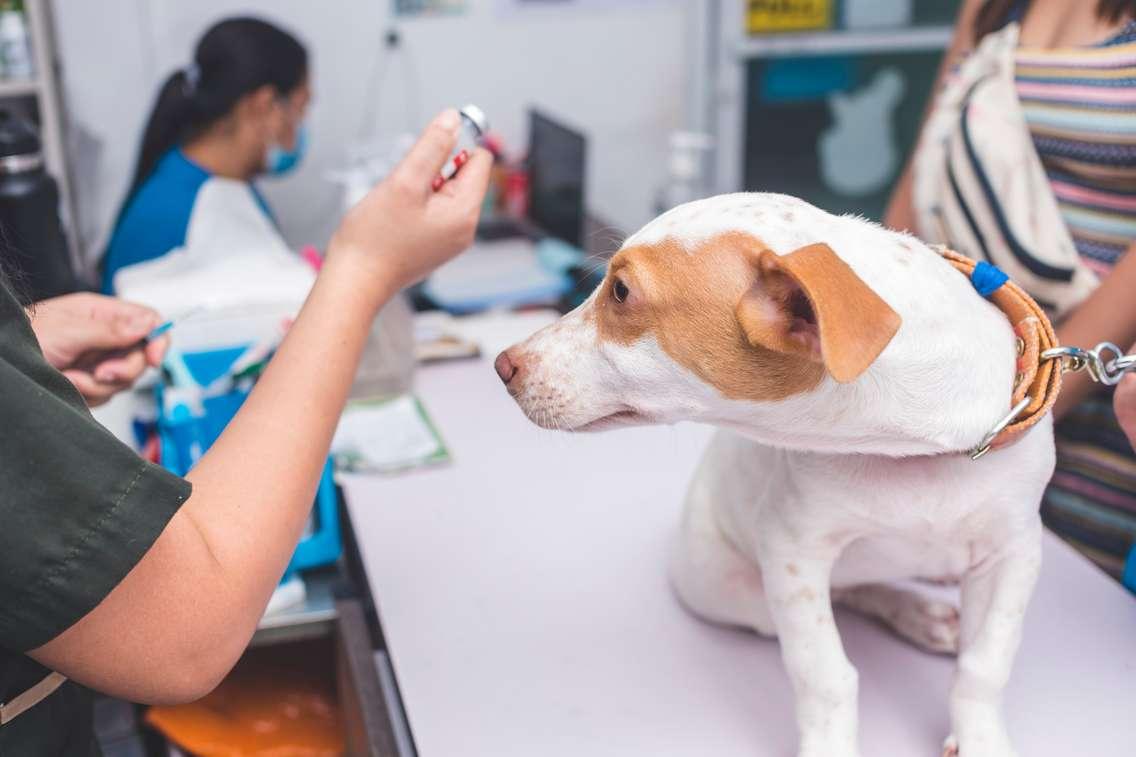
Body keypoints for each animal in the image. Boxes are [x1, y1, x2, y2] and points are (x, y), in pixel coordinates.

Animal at [497, 193, 1054, 754]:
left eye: (620, 291)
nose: (504, 365)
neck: (907, 455)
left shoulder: (1015, 553)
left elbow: (984, 666)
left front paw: (982, 739)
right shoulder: (794, 556)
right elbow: (825, 674)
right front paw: (830, 745)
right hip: (732, 590)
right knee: (850, 590)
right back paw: (919, 612)